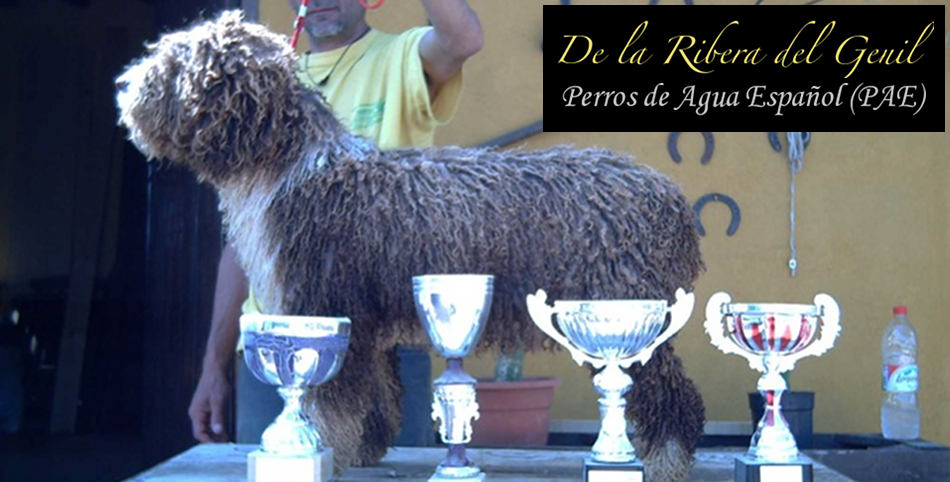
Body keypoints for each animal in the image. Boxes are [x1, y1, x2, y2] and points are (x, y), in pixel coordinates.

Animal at [117, 11, 708, 482]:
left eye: (172, 64)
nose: (125, 89)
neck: (289, 166)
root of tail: (667, 196)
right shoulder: (363, 319)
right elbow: (375, 393)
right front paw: (362, 450)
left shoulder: (331, 300)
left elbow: (335, 400)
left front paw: (325, 452)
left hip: (621, 308)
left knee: (668, 393)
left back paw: (666, 459)